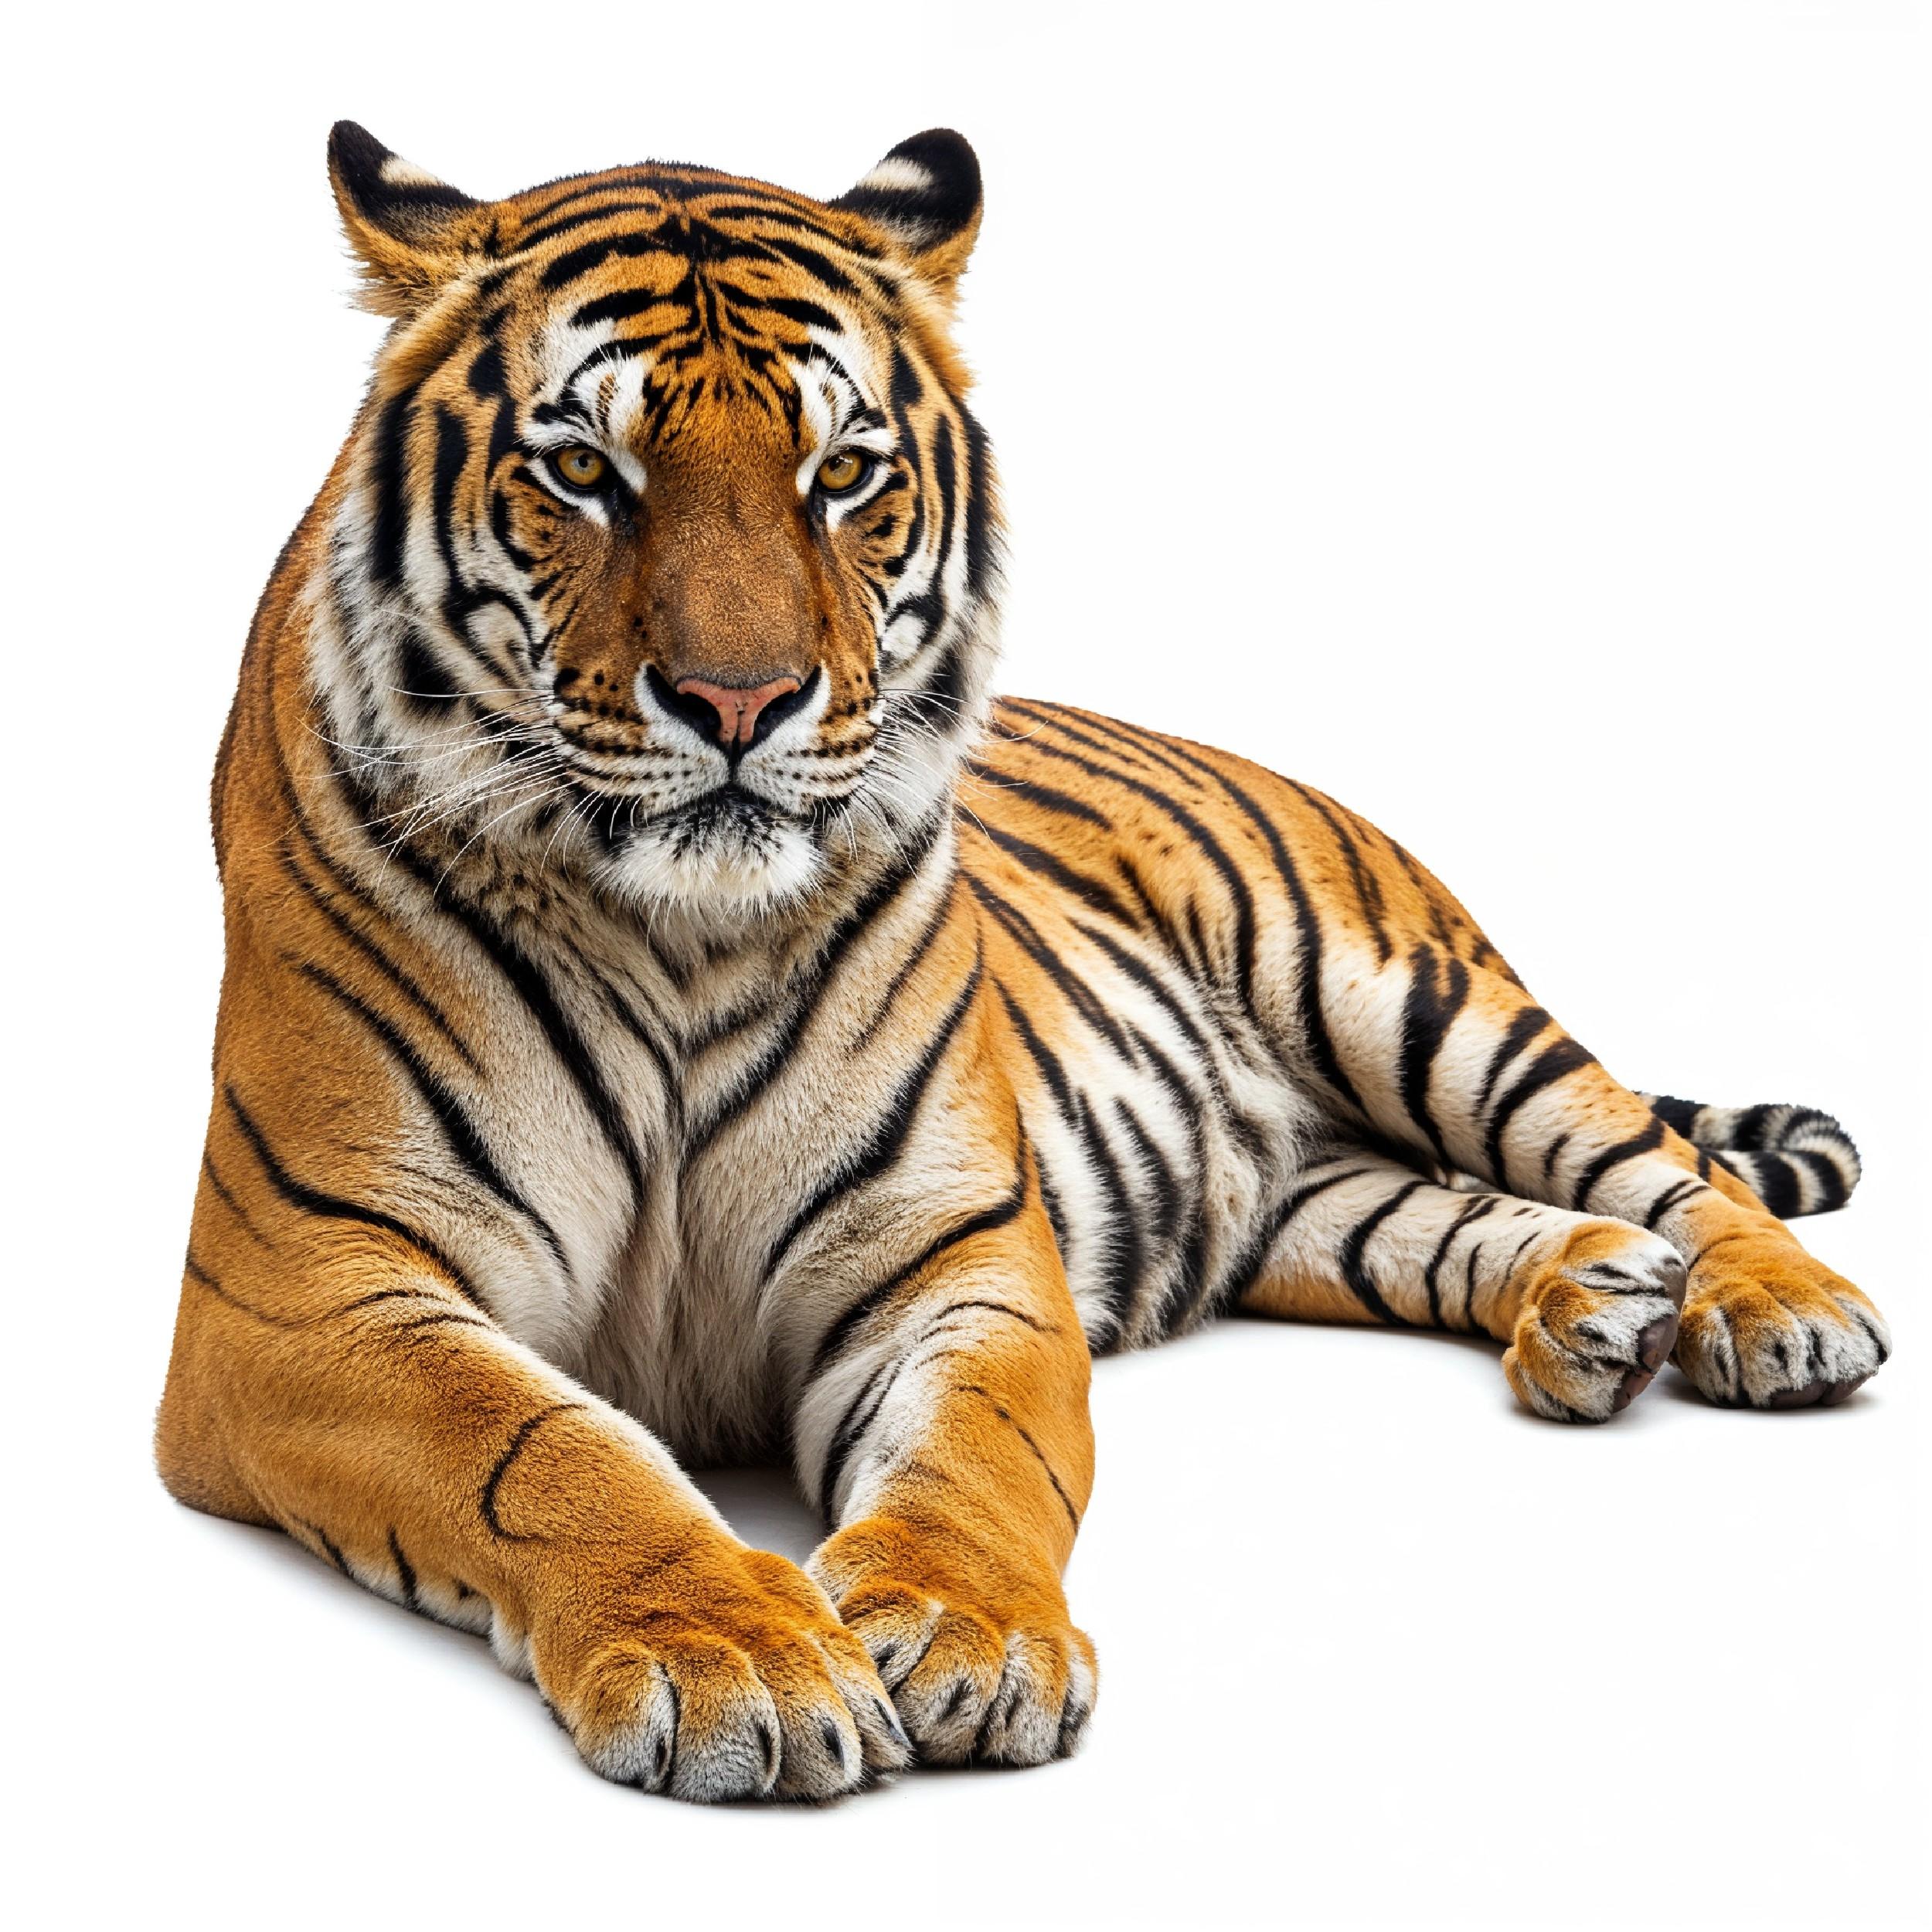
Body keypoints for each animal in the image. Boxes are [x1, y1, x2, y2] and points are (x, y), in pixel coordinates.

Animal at [157, 122, 1893, 1802]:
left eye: (841, 474)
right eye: (583, 469)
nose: (741, 701)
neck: (677, 935)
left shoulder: (959, 1249)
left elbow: (979, 1452)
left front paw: (964, 1634)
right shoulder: (305, 1286)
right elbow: (537, 1446)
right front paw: (740, 1653)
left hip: (1408, 994)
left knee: (1664, 1159)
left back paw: (1776, 1313)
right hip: (1306, 1195)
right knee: (1451, 1215)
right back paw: (1595, 1305)